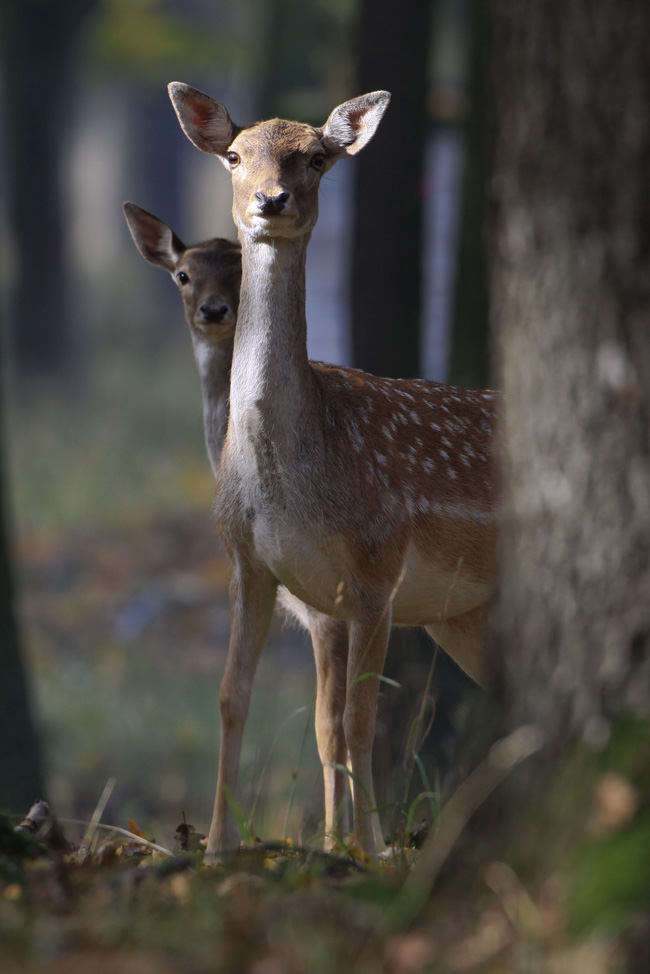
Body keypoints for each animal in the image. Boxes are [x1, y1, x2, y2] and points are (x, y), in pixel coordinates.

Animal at [167, 83, 500, 864]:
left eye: (317, 157)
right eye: (235, 155)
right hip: (467, 615)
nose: (272, 198)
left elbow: (356, 720)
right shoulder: (250, 565)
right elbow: (234, 697)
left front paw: (368, 849)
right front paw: (218, 847)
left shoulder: (377, 570)